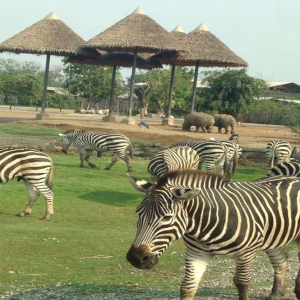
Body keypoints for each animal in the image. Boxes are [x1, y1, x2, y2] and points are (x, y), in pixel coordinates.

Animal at [126, 170, 300, 300]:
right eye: (138, 213)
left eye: (166, 218)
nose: (136, 258)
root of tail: (294, 177)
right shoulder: (196, 253)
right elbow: (188, 287)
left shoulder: (246, 254)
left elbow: (242, 284)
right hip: (273, 235)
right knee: (281, 260)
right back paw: (276, 294)